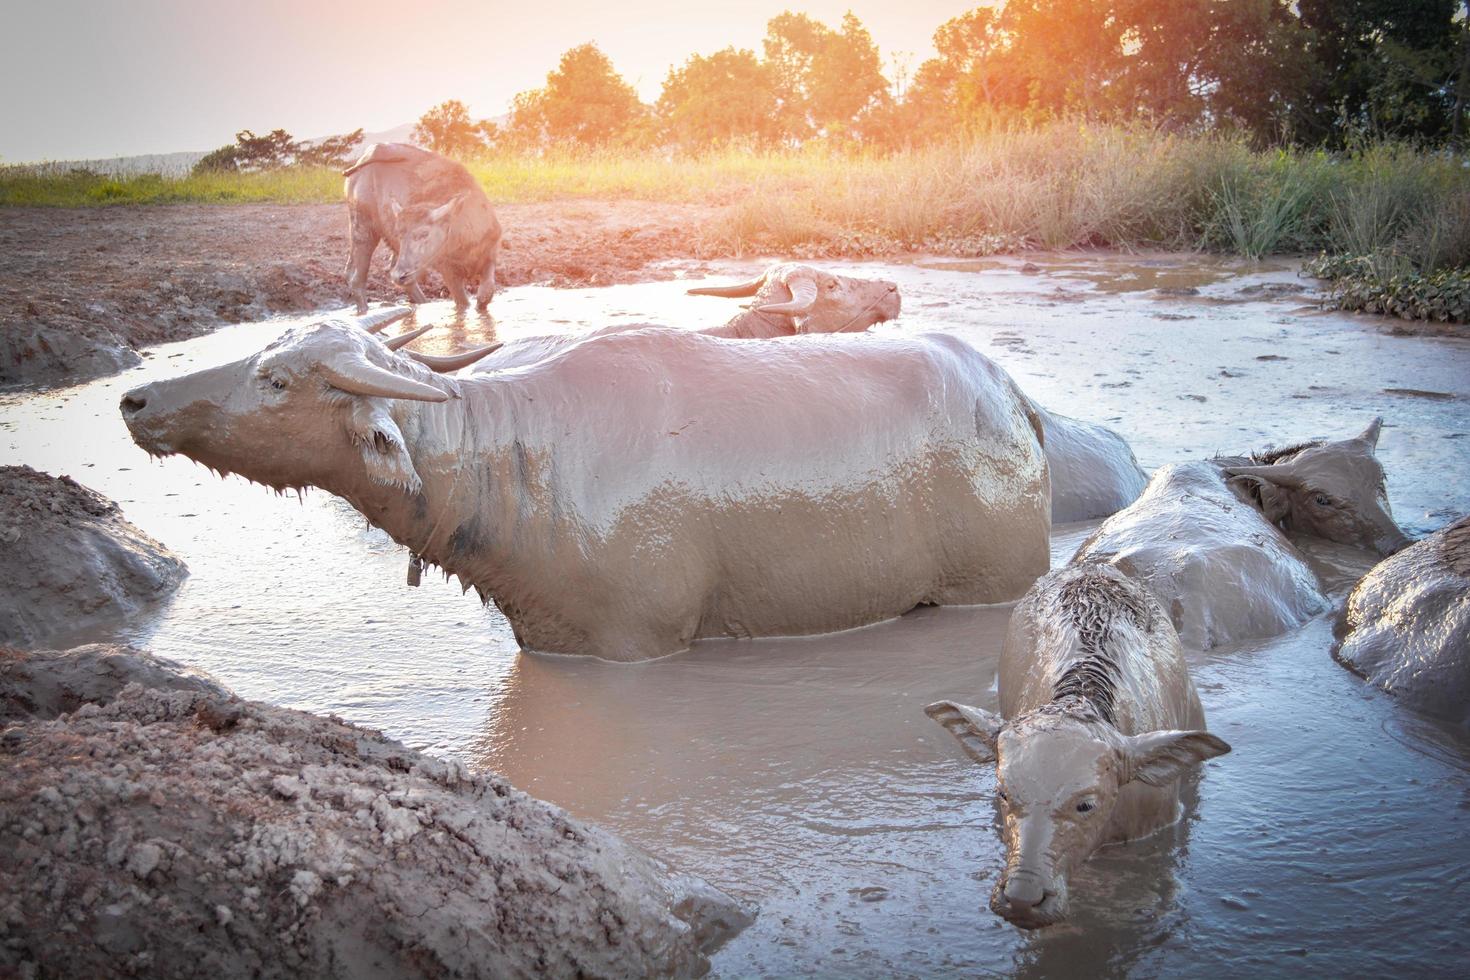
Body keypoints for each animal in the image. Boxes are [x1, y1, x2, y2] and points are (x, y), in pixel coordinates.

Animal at [120, 318, 1052, 664]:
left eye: (278, 380)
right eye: (264, 355)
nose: (136, 401)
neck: (516, 463)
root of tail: (1010, 397)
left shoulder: (637, 644)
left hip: (990, 585)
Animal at [341, 142, 502, 314]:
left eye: (424, 234)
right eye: (400, 235)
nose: (398, 275)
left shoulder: (490, 253)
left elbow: (485, 294)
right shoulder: (448, 272)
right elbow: (463, 303)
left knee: (401, 279)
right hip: (362, 228)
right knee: (356, 277)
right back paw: (364, 311)